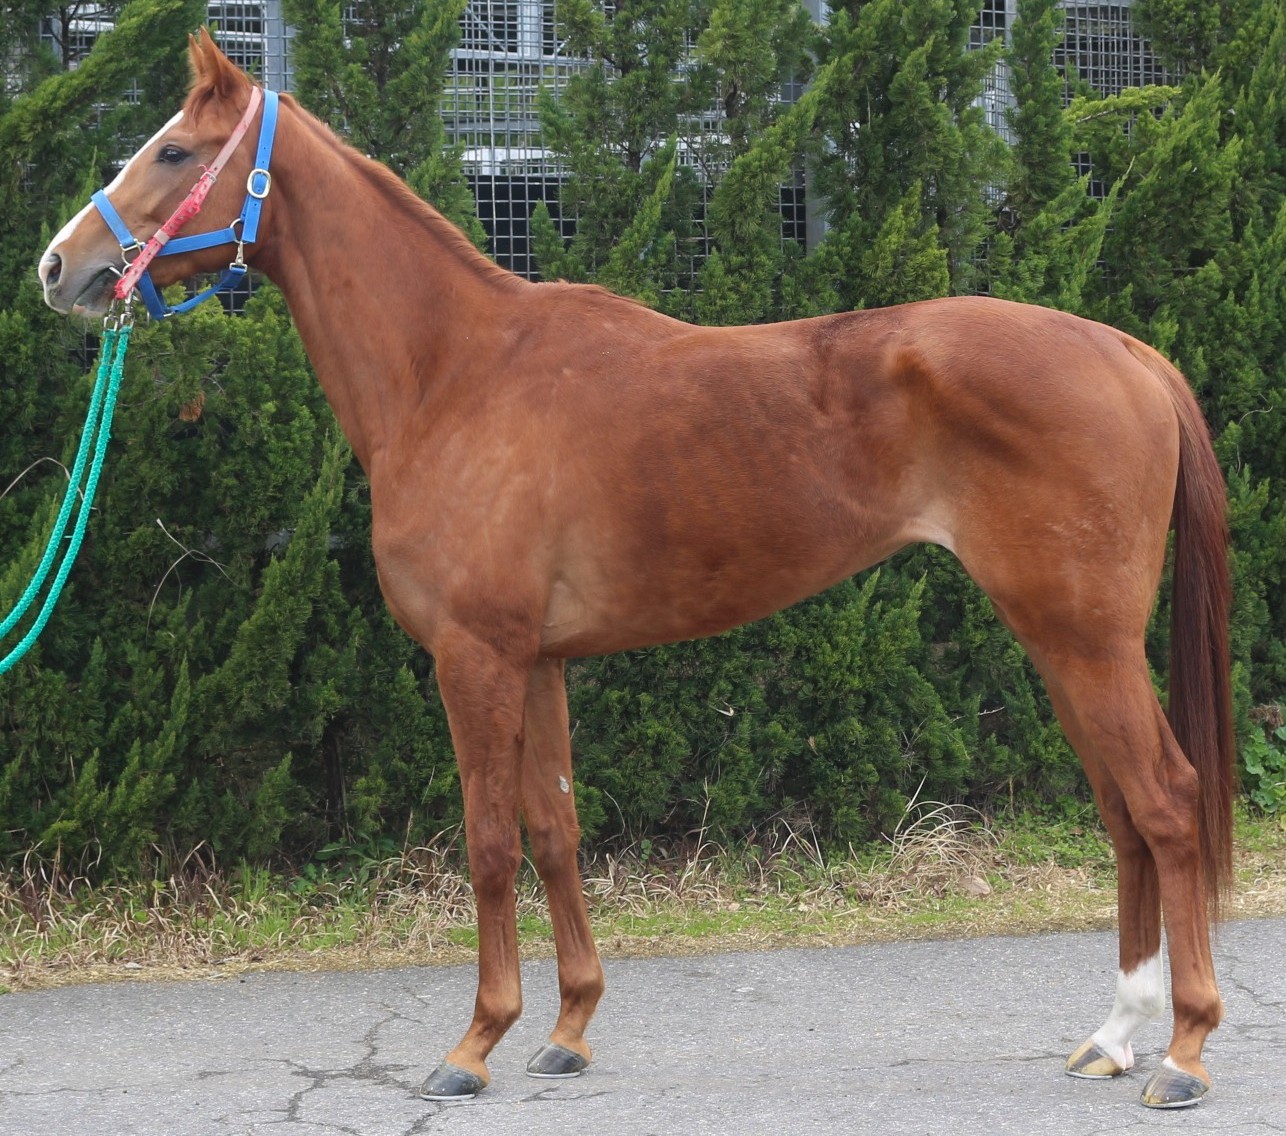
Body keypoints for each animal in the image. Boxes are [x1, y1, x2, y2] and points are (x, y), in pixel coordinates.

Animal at [38, 31, 1234, 1110]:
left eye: (175, 151)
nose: (60, 266)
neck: (453, 374)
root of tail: (1126, 352)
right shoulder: (539, 661)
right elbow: (557, 833)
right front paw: (566, 1029)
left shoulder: (474, 658)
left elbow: (487, 842)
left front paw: (473, 1043)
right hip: (1063, 642)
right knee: (1121, 810)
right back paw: (1112, 1035)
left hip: (1082, 638)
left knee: (1166, 802)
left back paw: (1180, 1049)